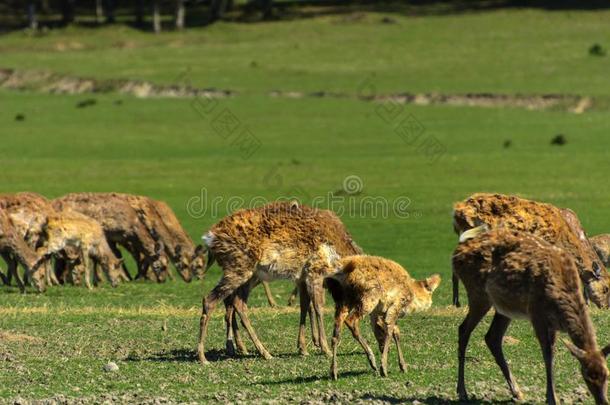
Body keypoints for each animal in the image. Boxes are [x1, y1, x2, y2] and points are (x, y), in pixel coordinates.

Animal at [196, 202, 360, 362]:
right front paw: (325, 349)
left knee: (235, 303)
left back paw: (255, 351)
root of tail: (210, 238)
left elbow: (304, 306)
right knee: (211, 300)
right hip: (239, 270)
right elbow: (318, 307)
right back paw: (204, 357)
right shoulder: (315, 272)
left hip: (248, 275)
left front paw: (303, 348)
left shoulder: (302, 278)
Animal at [452, 226, 608, 402]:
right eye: (587, 376)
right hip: (477, 294)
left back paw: (517, 392)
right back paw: (462, 391)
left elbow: (551, 352)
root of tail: (456, 252)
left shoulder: (551, 323)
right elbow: (547, 353)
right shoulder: (537, 313)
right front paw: (551, 398)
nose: (602, 401)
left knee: (492, 337)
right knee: (463, 330)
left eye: (607, 375)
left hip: (504, 306)